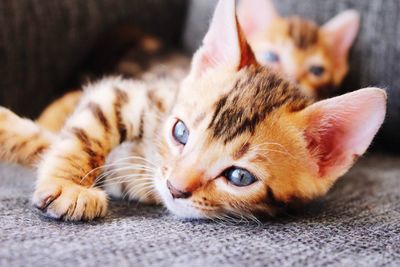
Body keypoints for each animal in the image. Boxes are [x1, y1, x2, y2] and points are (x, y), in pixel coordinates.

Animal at [0, 0, 386, 222]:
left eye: (239, 177)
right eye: (180, 132)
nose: (174, 187)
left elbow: (49, 142)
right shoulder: (128, 93)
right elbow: (82, 132)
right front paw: (68, 185)